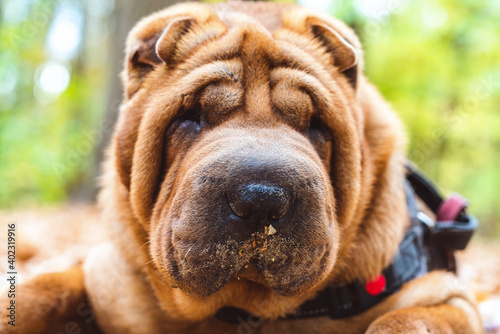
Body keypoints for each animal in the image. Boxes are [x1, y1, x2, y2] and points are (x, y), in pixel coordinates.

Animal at [2, 0, 484, 334]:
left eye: (315, 125)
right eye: (190, 117)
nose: (261, 199)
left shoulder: (448, 299)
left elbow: (402, 322)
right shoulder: (104, 276)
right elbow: (41, 291)